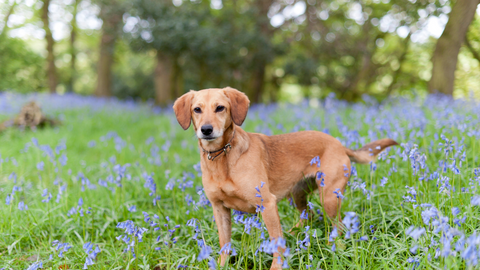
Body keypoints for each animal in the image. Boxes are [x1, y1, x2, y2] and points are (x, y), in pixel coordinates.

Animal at [172, 87, 398, 268]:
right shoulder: (219, 209)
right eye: (197, 110)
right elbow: (224, 245)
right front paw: (220, 266)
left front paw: (277, 267)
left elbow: (276, 244)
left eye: (220, 108)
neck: (221, 157)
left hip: (329, 198)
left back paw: (332, 248)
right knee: (308, 215)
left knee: (338, 226)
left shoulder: (267, 204)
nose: (206, 130)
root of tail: (339, 144)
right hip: (298, 195)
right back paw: (297, 234)